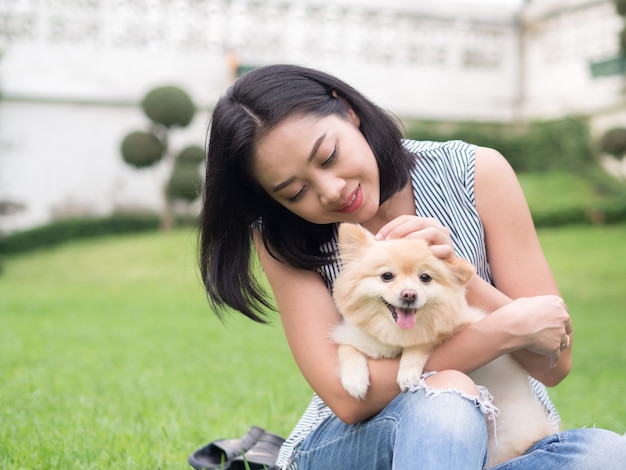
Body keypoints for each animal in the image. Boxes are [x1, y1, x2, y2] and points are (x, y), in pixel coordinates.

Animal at [332, 223, 556, 466]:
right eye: (386, 276)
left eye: (425, 278)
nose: (409, 294)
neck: (397, 333)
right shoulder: (355, 335)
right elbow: (348, 349)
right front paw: (355, 380)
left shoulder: (463, 324)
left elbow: (423, 340)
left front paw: (407, 372)